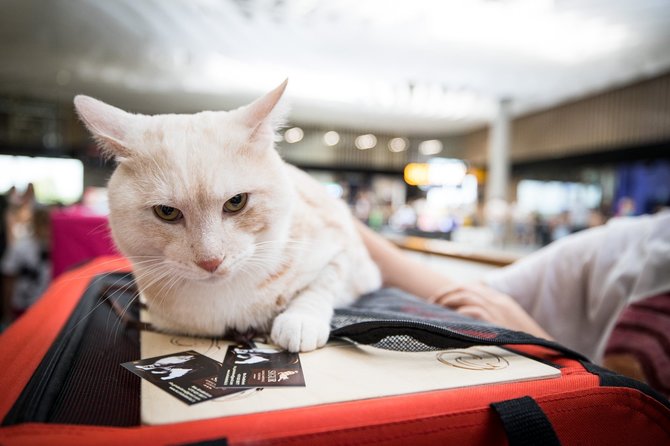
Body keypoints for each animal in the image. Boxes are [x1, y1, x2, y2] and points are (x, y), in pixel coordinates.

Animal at [75, 80, 380, 352]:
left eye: (236, 202)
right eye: (167, 212)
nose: (210, 261)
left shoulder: (350, 254)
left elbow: (324, 281)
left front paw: (301, 319)